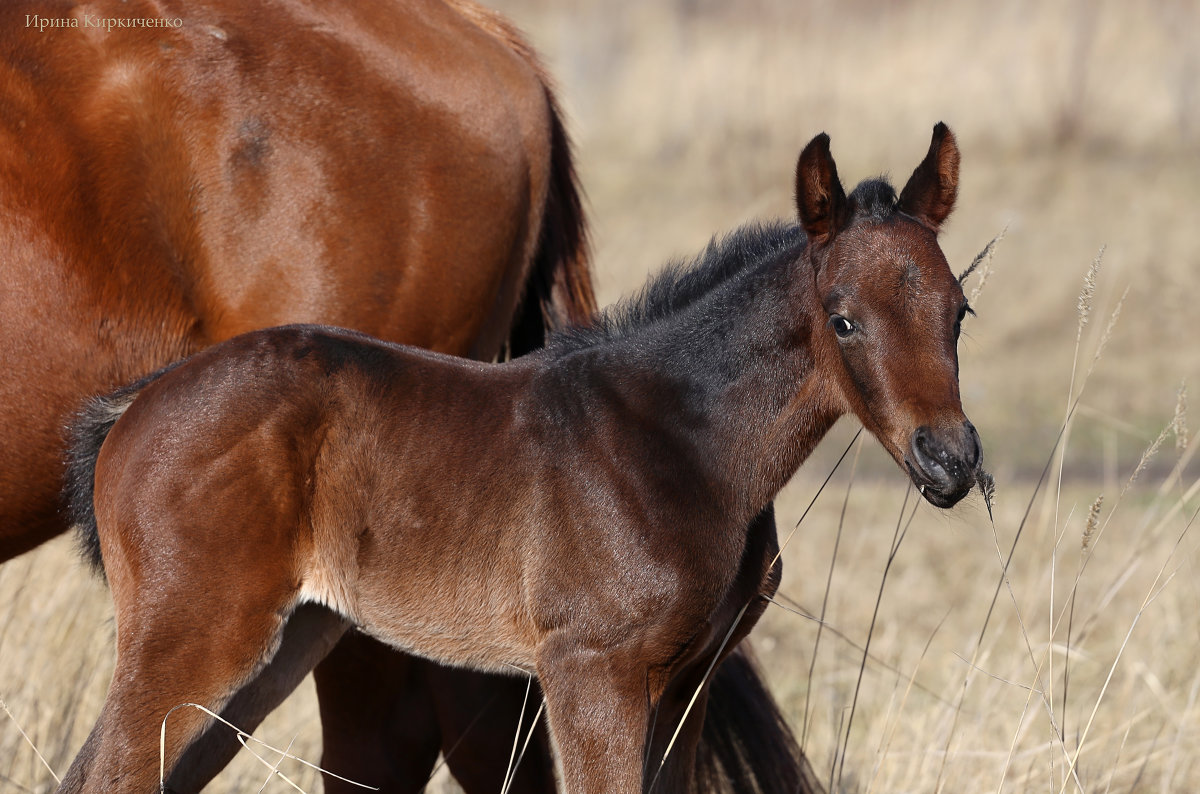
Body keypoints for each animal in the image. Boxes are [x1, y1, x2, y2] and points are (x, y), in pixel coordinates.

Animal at [58, 121, 984, 791]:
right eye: (843, 318)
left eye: (960, 309)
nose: (950, 460)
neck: (681, 441)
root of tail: (134, 407)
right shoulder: (591, 671)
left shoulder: (689, 682)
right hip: (195, 636)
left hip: (279, 643)